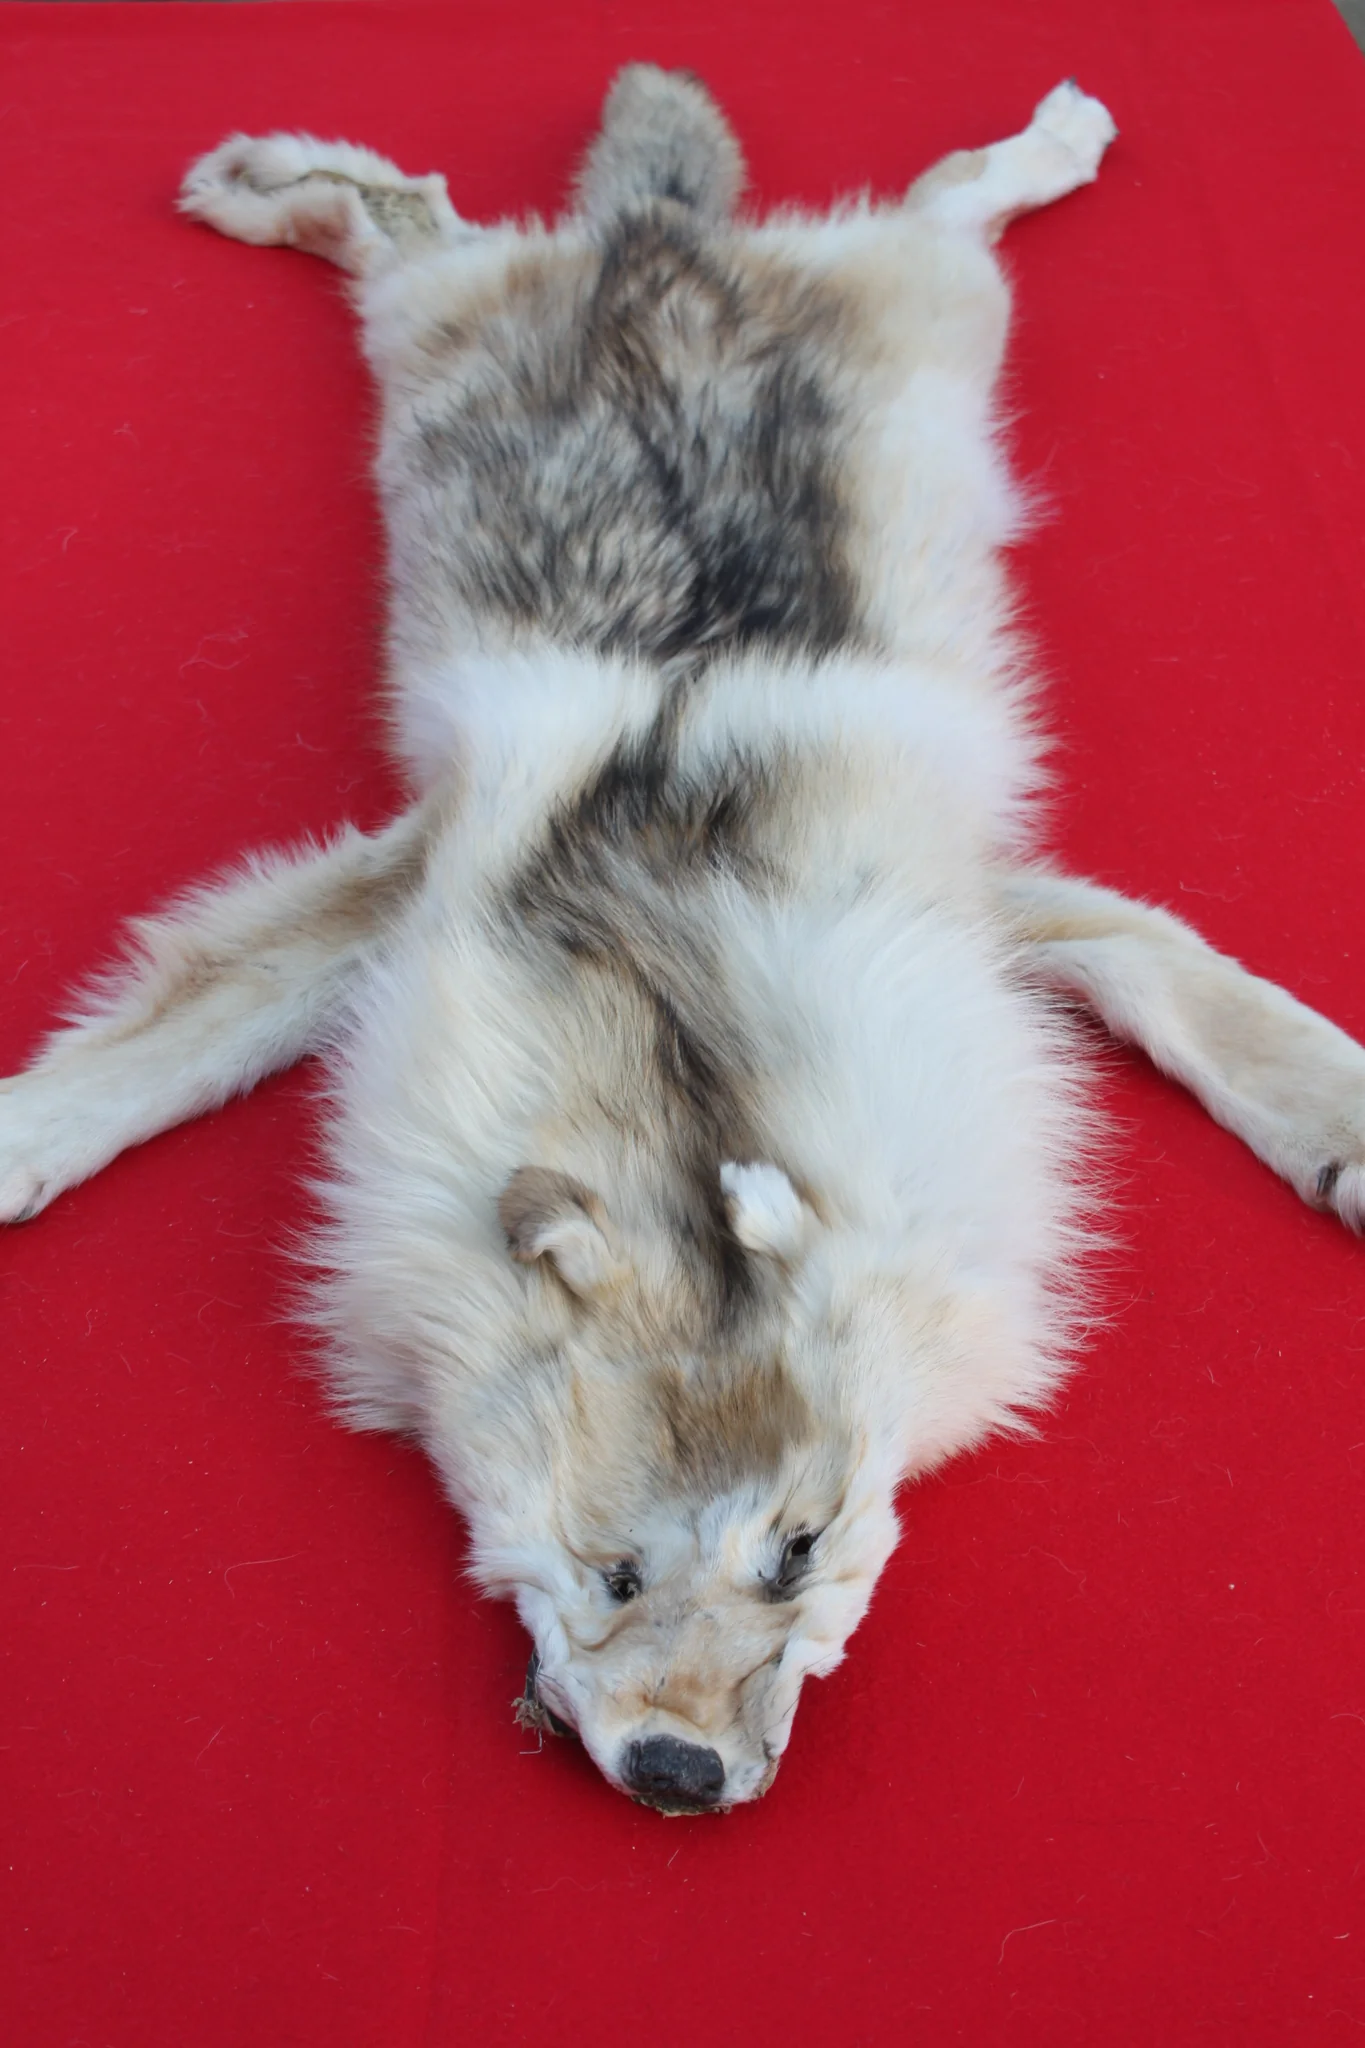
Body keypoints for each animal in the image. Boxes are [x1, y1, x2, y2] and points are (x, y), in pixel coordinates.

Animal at [3, 70, 1362, 1814]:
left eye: (798, 1551)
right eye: (612, 1573)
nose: (676, 1774)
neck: (673, 989)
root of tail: (661, 238)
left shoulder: (998, 903)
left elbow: (1206, 1002)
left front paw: (1342, 1133)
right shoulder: (409, 880)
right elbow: (141, 1059)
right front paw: (16, 1145)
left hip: (932, 311)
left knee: (920, 197)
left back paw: (1054, 139)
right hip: (453, 324)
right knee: (411, 209)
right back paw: (254, 184)